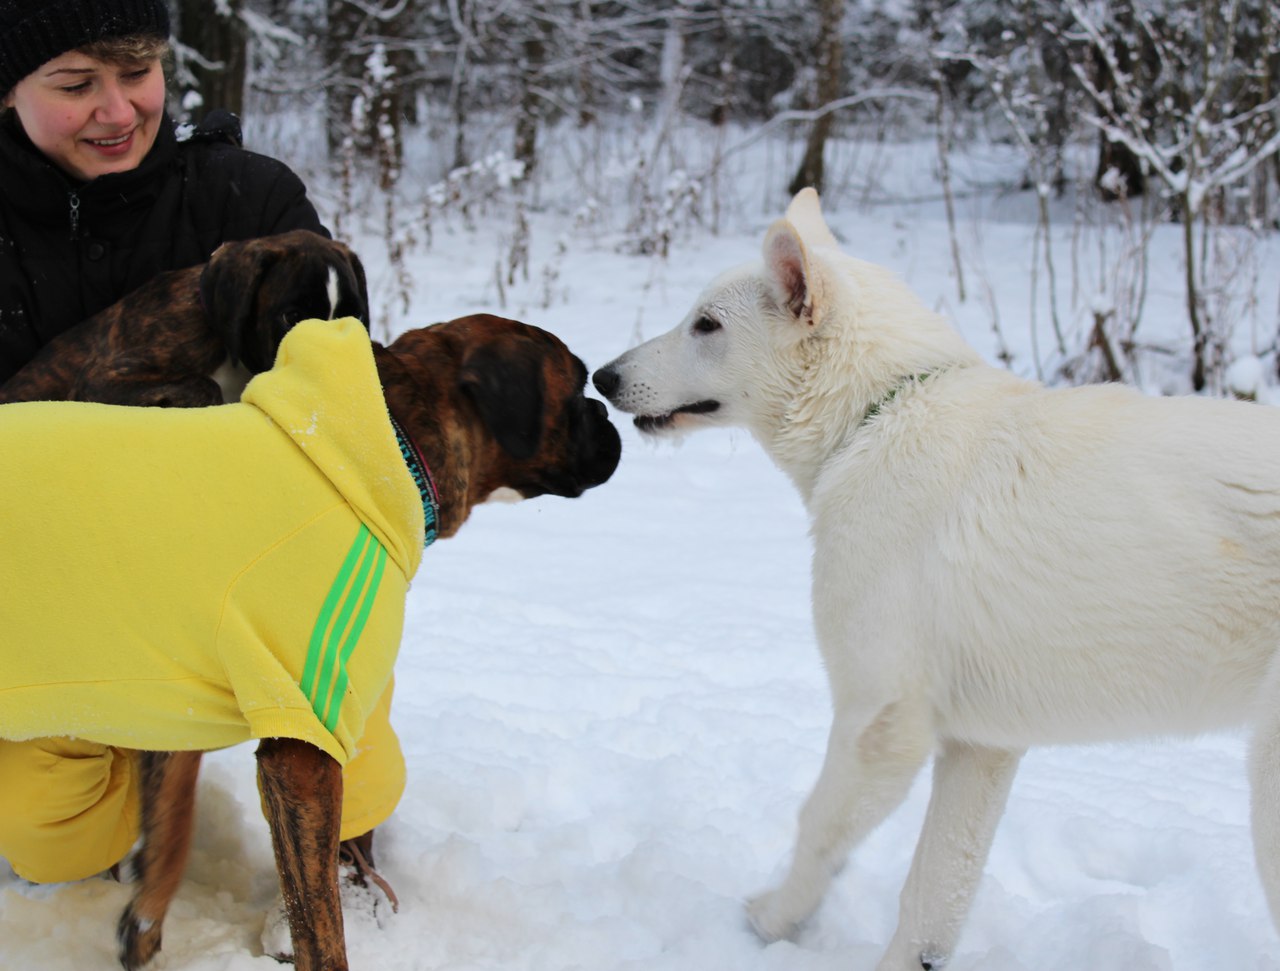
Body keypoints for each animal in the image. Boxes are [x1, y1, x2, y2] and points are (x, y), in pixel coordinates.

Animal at [0, 314, 621, 971]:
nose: (607, 413)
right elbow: (317, 920)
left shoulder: (175, 706)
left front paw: (142, 924)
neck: (392, 446)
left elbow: (172, 826)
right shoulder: (303, 750)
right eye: (577, 387)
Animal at [593, 188, 1280, 969]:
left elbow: (818, 828)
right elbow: (933, 897)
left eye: (705, 325)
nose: (602, 375)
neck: (877, 415)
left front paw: (773, 921)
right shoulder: (979, 749)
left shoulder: (880, 720)